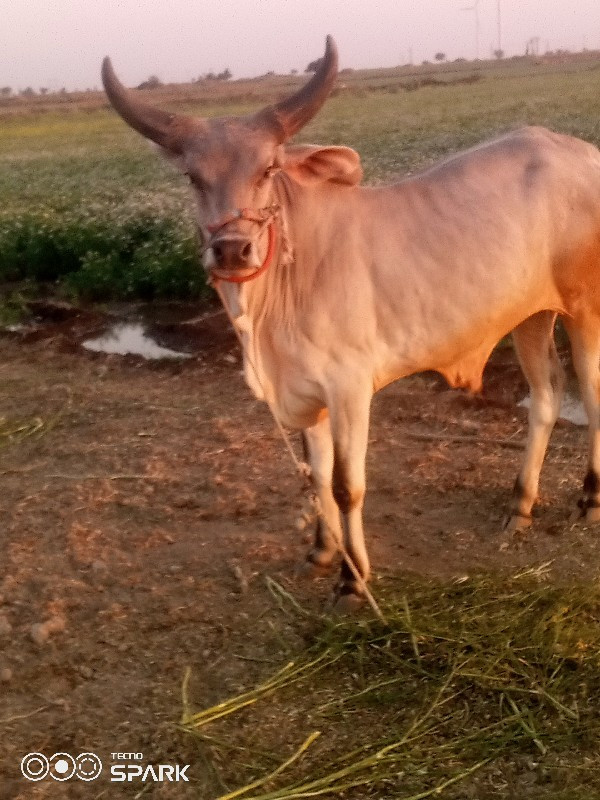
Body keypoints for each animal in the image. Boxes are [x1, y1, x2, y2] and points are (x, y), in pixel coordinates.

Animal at [103, 34, 600, 604]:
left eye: (268, 169)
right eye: (192, 175)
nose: (231, 250)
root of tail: (583, 152)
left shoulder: (349, 388)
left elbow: (346, 484)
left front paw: (353, 577)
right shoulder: (306, 393)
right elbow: (315, 476)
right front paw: (322, 552)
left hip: (585, 308)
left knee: (590, 391)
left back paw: (589, 498)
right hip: (530, 316)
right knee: (546, 396)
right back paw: (520, 505)